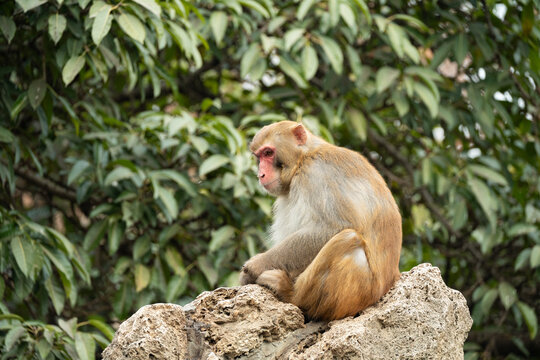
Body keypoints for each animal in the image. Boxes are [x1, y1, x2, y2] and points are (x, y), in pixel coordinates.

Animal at [240, 120, 400, 320]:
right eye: (259, 157)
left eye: (268, 153)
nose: (260, 174)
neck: (303, 158)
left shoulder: (317, 172)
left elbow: (335, 227)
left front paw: (254, 266)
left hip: (361, 292)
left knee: (347, 239)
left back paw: (291, 294)